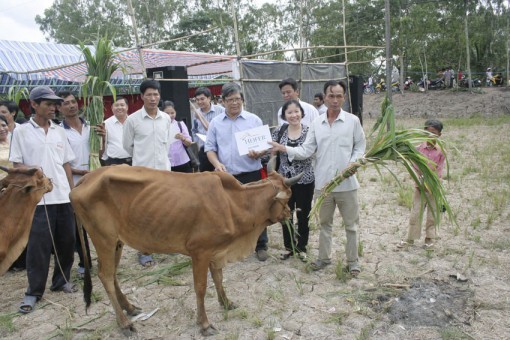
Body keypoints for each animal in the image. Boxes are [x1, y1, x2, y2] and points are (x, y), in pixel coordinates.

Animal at [69, 161, 296, 336]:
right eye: (287, 197)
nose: (288, 213)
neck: (233, 203)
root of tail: (87, 178)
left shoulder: (216, 251)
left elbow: (219, 279)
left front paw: (226, 302)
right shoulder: (200, 252)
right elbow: (201, 288)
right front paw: (204, 324)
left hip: (117, 242)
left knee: (113, 274)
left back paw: (130, 308)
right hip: (103, 239)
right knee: (105, 276)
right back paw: (125, 324)